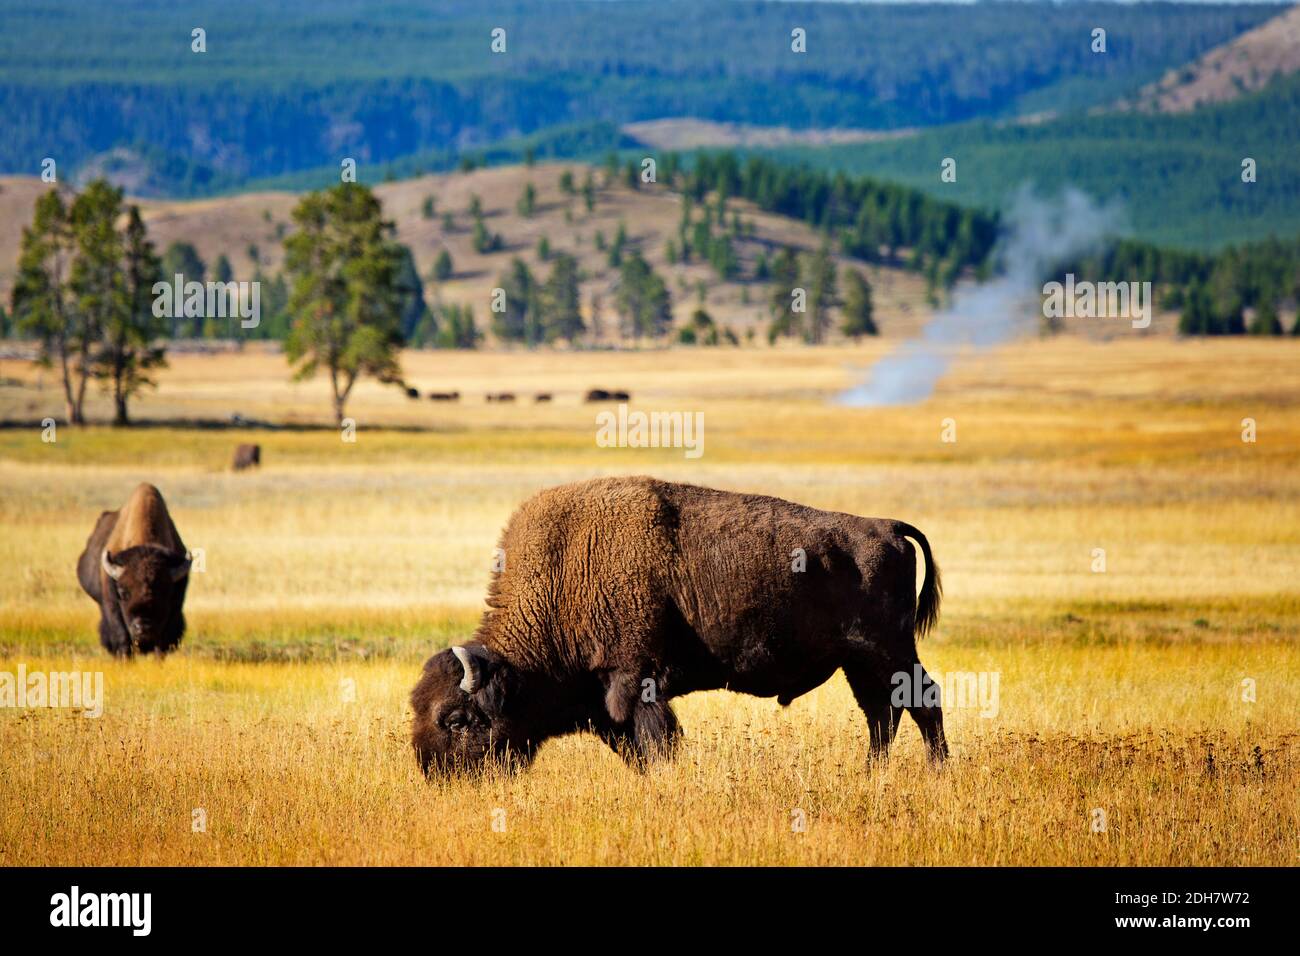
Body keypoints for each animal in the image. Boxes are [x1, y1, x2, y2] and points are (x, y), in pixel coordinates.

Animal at [76, 483, 191, 657]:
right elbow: (122, 637)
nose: (142, 628)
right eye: (123, 593)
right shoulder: (113, 607)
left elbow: (161, 643)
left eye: (165, 593)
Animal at [411, 476, 947, 775]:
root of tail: (887, 527)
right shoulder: (607, 701)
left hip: (888, 650)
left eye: (456, 720)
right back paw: (871, 774)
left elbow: (657, 743)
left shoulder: (635, 682)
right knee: (882, 714)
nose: (436, 775)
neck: (564, 574)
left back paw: (936, 773)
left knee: (921, 703)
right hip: (859, 661)